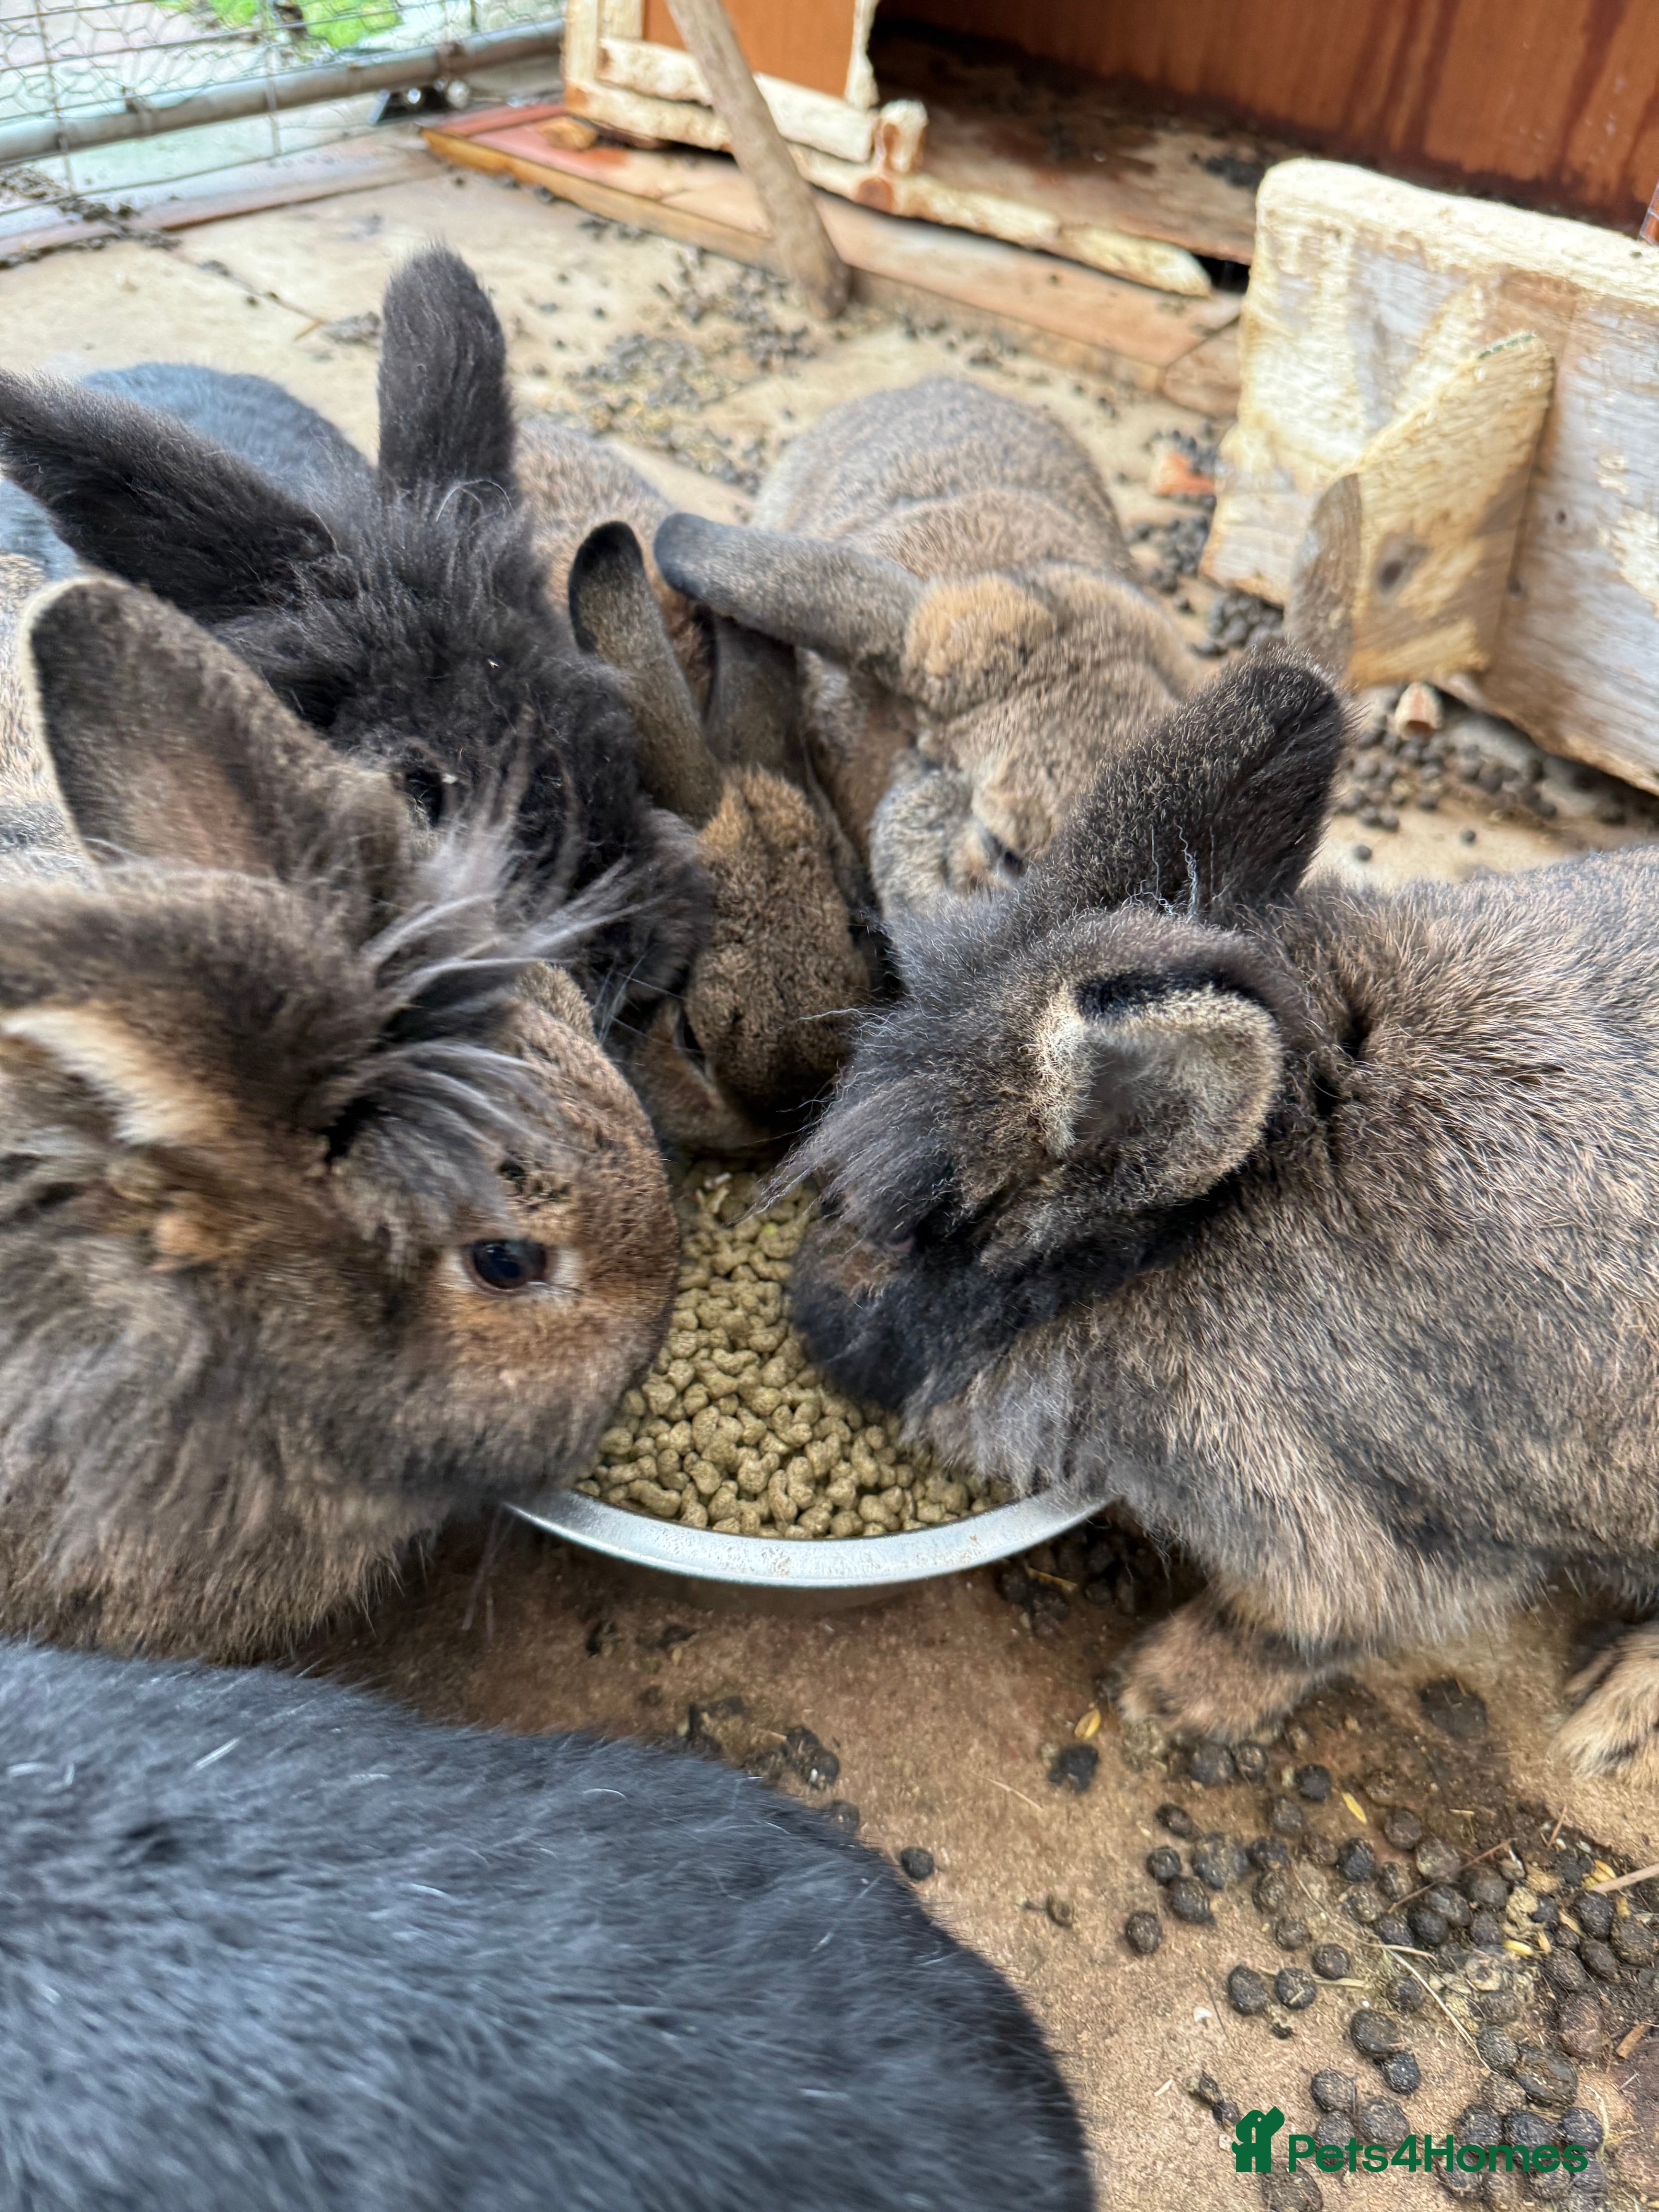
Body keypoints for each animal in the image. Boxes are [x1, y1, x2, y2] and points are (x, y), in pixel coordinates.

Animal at [784, 647, 1659, 1784]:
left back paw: (1610, 1718)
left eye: (905, 1232)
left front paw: (1164, 1694)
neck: (1193, 1228)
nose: (802, 1308)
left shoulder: (1392, 1527)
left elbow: (1312, 1626)